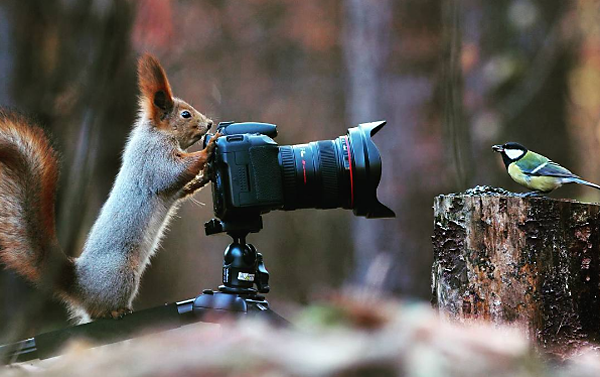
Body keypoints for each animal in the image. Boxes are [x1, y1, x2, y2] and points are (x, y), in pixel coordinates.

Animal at [0, 53, 220, 324]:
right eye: (186, 115)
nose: (209, 123)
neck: (156, 133)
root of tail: (79, 286)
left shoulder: (170, 184)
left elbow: (181, 188)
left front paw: (205, 175)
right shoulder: (152, 158)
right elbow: (172, 172)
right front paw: (208, 150)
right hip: (122, 274)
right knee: (100, 311)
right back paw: (117, 311)